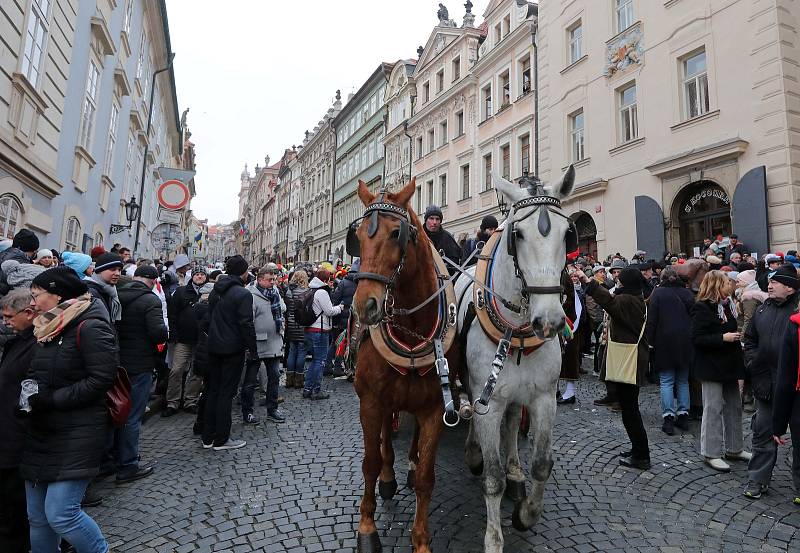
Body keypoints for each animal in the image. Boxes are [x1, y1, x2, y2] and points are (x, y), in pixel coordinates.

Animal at [354, 178, 460, 552]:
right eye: (358, 236)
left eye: (396, 233)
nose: (365, 305)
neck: (412, 330)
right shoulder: (371, 402)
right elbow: (370, 462)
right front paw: (367, 527)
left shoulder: (436, 408)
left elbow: (427, 477)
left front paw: (421, 540)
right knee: (386, 437)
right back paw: (389, 476)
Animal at [456, 166, 576, 548]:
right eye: (517, 234)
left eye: (568, 234)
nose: (549, 321)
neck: (518, 333)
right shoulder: (488, 402)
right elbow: (491, 478)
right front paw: (494, 539)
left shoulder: (543, 398)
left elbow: (542, 463)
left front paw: (526, 514)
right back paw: (474, 452)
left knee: (511, 424)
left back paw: (515, 471)